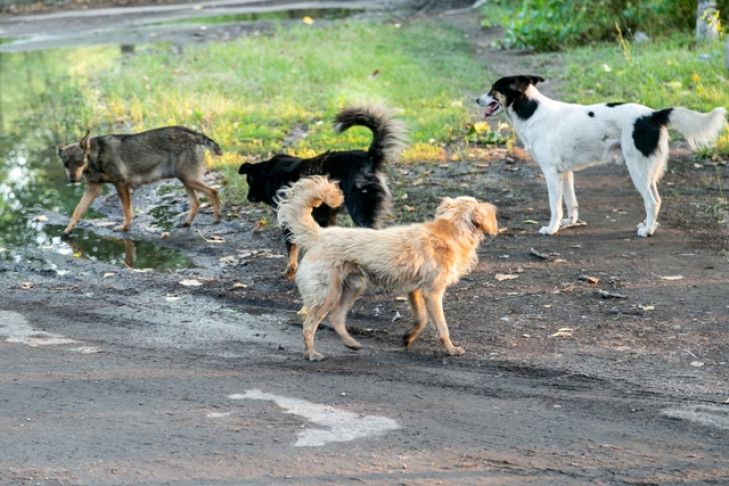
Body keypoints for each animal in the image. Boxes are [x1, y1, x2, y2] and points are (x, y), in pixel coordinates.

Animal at [56, 125, 220, 237]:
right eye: (66, 164)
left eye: (79, 162)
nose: (72, 180)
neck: (95, 157)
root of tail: (194, 134)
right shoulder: (93, 188)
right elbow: (77, 211)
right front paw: (67, 230)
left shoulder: (121, 184)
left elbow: (127, 211)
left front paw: (124, 228)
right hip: (186, 181)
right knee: (196, 203)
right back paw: (186, 223)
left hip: (188, 180)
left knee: (213, 191)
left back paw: (217, 218)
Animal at [240, 104, 406, 280]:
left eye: (249, 181)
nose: (248, 198)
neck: (268, 174)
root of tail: (370, 157)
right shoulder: (326, 217)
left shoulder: (288, 221)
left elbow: (292, 250)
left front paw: (290, 271)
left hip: (361, 212)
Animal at [276, 175, 498, 360]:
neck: (449, 229)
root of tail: (319, 235)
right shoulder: (432, 293)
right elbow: (442, 326)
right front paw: (451, 349)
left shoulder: (415, 291)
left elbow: (421, 319)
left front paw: (408, 337)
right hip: (326, 293)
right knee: (309, 325)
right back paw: (312, 353)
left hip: (353, 287)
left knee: (336, 318)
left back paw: (351, 343)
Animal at [474, 73, 724, 237]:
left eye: (493, 89)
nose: (476, 99)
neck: (532, 112)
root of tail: (653, 115)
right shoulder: (566, 172)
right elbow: (570, 202)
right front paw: (569, 222)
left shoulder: (551, 173)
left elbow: (555, 205)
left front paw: (551, 228)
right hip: (647, 172)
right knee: (654, 199)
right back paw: (646, 225)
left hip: (637, 170)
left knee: (652, 201)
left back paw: (648, 231)